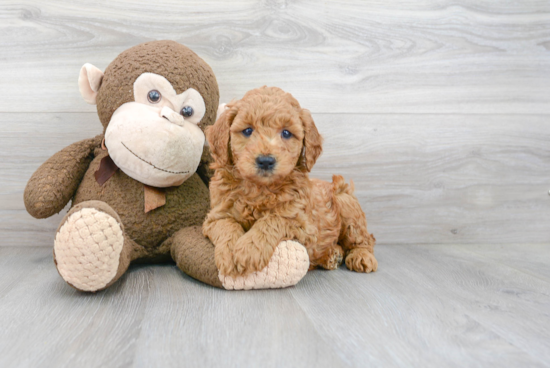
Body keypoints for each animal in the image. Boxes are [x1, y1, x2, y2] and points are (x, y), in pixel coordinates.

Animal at [204, 86, 380, 276]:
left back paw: (361, 256)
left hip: (346, 204)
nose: (265, 161)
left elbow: (274, 219)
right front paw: (229, 253)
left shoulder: (304, 226)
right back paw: (333, 255)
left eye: (286, 133)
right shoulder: (215, 216)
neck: (260, 189)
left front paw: (248, 249)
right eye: (248, 131)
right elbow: (226, 225)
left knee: (364, 239)